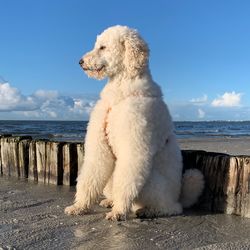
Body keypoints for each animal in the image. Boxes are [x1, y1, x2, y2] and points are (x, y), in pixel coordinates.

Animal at [65, 25, 204, 221]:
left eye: (103, 47)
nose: (80, 62)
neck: (121, 89)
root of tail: (178, 197)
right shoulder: (99, 147)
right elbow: (90, 176)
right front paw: (79, 207)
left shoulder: (134, 149)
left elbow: (125, 182)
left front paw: (118, 211)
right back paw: (110, 201)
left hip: (150, 181)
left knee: (171, 208)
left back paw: (148, 210)